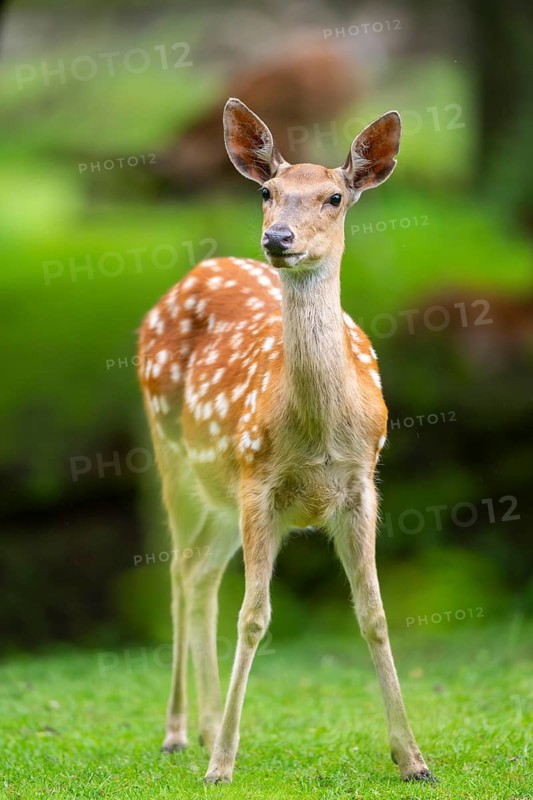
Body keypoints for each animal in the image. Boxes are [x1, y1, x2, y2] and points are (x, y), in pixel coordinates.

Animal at [137, 97, 435, 784]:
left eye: (334, 196)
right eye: (266, 192)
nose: (278, 238)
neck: (318, 432)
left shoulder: (360, 485)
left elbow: (374, 614)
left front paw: (412, 759)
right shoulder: (259, 482)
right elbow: (254, 616)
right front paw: (221, 766)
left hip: (222, 495)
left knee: (200, 574)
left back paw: (206, 726)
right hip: (175, 457)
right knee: (179, 572)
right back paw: (180, 734)